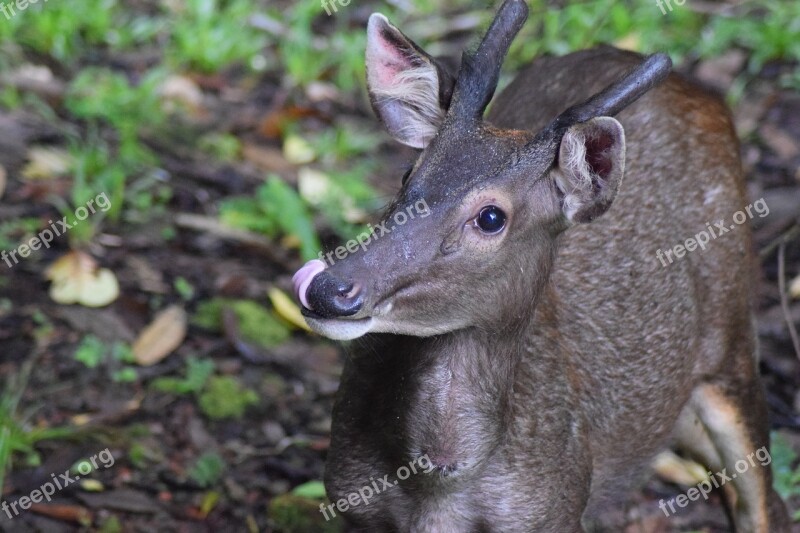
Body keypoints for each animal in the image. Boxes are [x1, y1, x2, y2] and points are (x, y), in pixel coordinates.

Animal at [290, 1, 792, 528]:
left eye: (491, 216)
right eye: (409, 174)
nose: (327, 288)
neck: (438, 487)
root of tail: (706, 95)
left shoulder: (557, 512)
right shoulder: (348, 501)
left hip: (731, 333)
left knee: (765, 499)